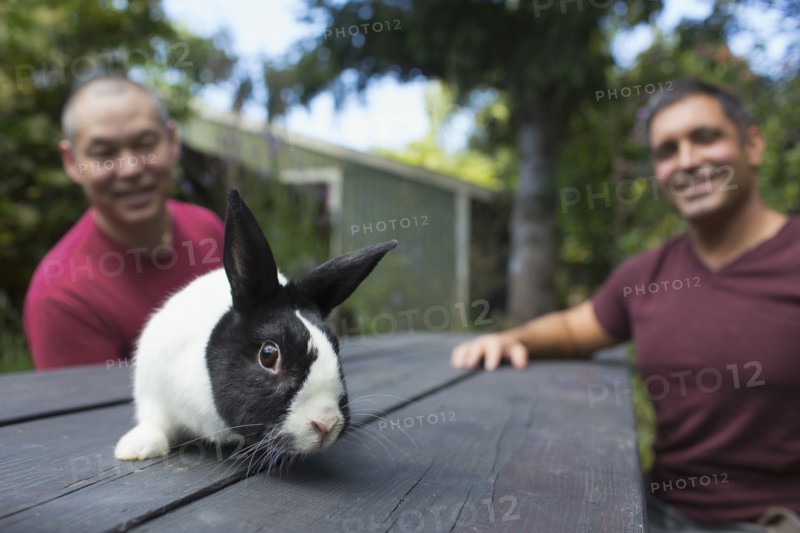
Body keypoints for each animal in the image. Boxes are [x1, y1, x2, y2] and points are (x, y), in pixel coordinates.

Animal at [114, 189, 397, 462]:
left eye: (336, 347)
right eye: (268, 354)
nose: (326, 424)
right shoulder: (153, 387)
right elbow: (155, 420)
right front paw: (135, 449)